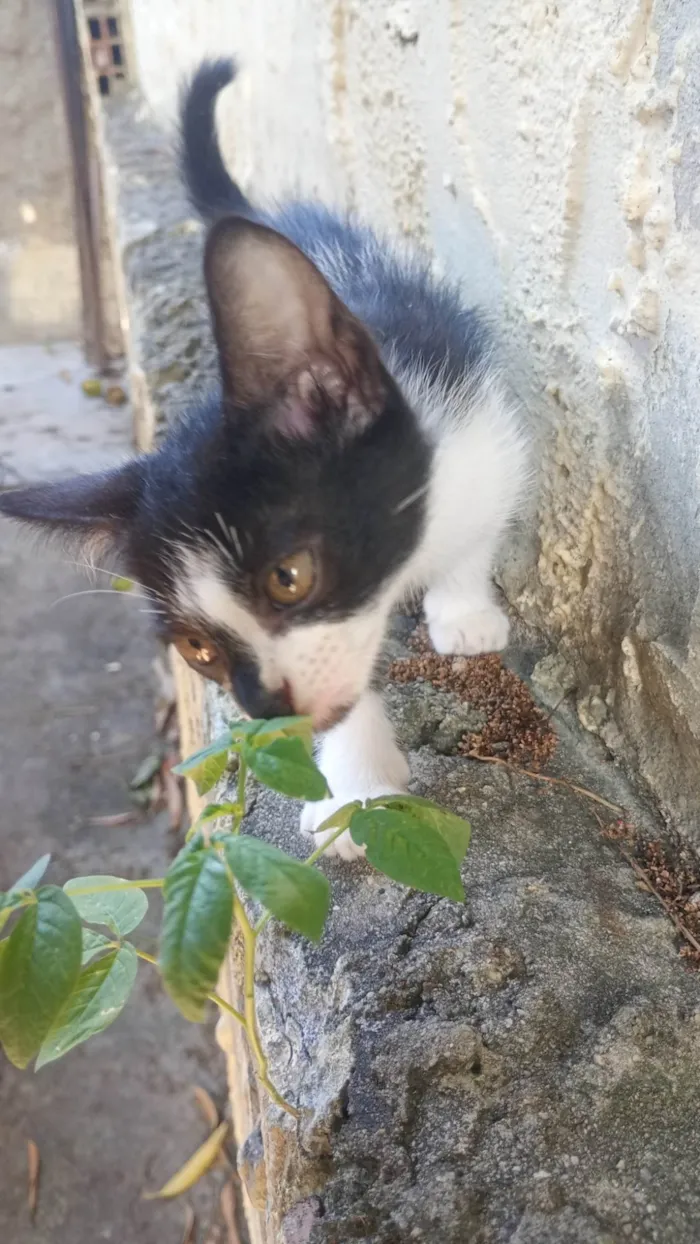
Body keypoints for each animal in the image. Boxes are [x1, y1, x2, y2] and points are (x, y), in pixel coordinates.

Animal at [0, 58, 527, 855]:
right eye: (196, 647)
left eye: (289, 578)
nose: (265, 708)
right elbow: (348, 689)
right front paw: (358, 790)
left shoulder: (478, 427)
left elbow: (480, 525)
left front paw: (464, 610)